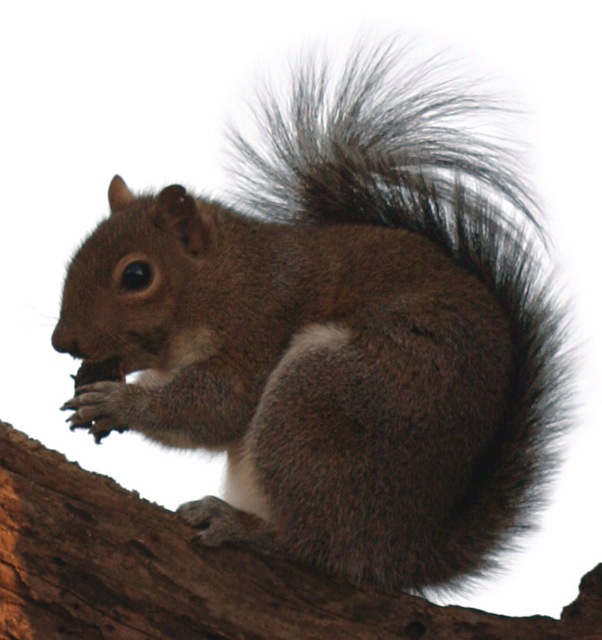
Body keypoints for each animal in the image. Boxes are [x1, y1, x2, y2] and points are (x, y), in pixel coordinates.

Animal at [52, 42, 569, 592]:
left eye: (137, 275)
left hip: (325, 403)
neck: (227, 277)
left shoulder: (257, 328)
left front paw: (118, 402)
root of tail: (402, 552)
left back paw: (241, 525)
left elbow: (216, 409)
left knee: (314, 546)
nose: (62, 342)